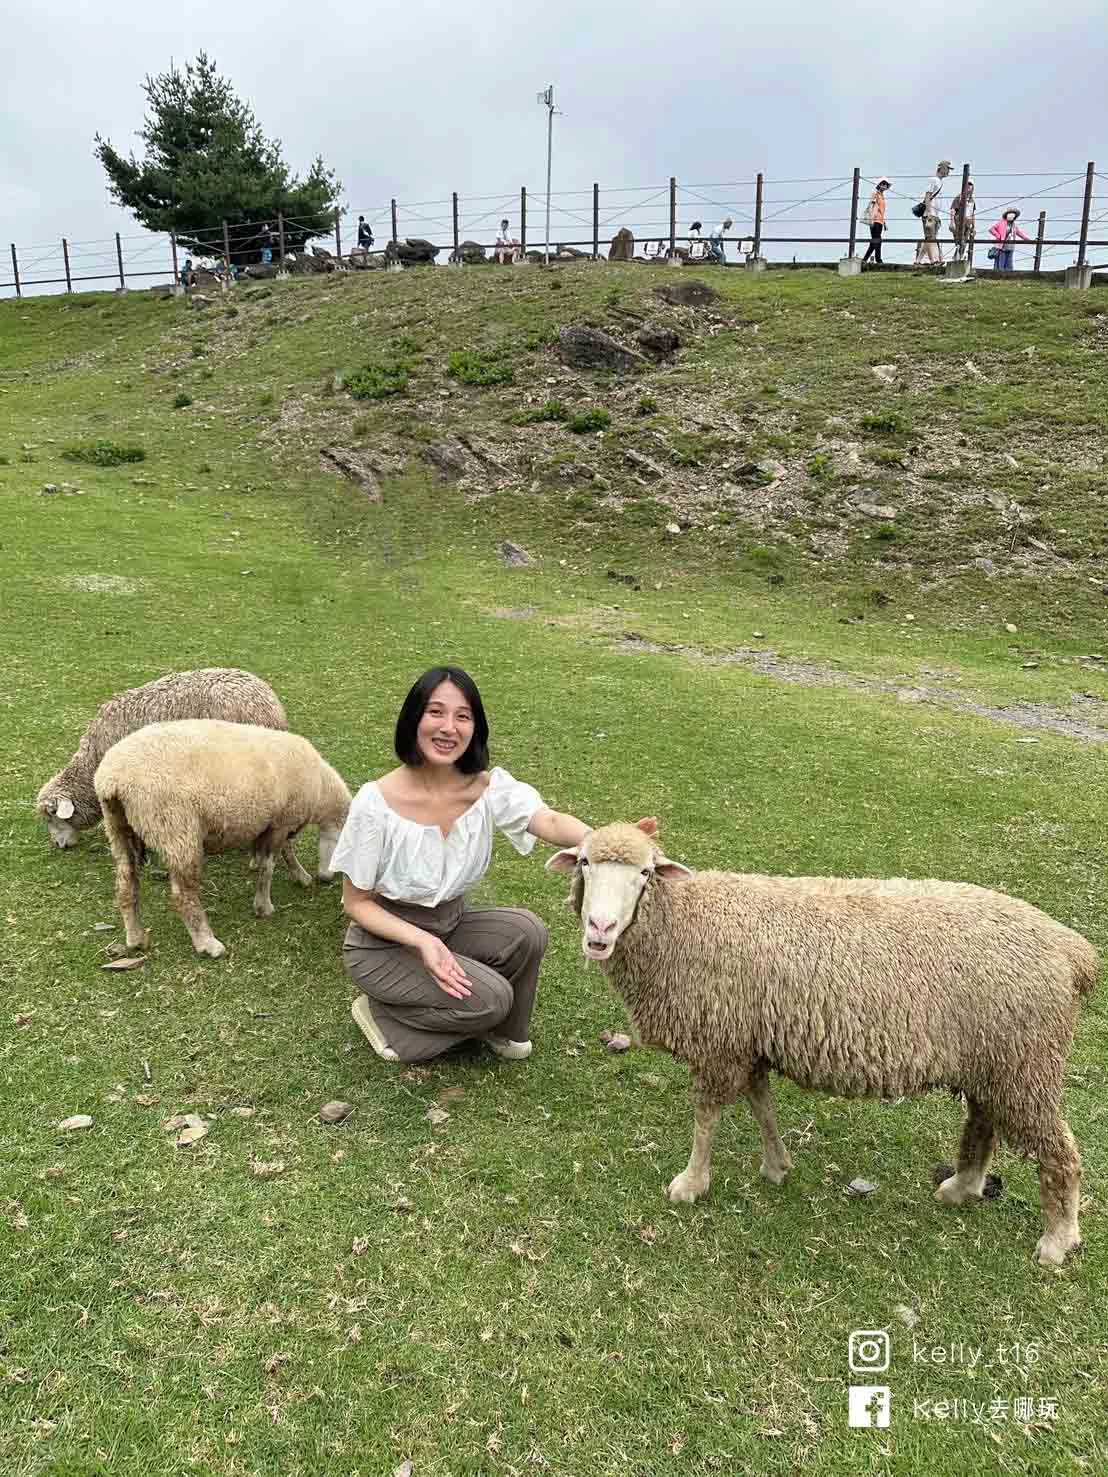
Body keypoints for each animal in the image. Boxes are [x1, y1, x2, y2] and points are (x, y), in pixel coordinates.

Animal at [93, 717, 348, 957]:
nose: (326, 877)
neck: (320, 788)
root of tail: (112, 780)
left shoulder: (274, 822)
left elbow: (283, 852)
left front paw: (297, 875)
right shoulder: (282, 822)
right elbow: (269, 866)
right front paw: (264, 906)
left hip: (118, 828)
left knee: (125, 884)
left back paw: (136, 938)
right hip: (175, 827)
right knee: (183, 894)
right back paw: (207, 943)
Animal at [552, 821, 1105, 1270]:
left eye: (645, 873)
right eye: (584, 862)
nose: (599, 930)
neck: (683, 923)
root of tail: (1073, 952)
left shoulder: (720, 1041)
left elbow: (707, 1117)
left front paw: (690, 1184)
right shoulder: (750, 1039)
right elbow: (762, 1105)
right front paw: (776, 1167)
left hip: (1026, 1062)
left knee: (1060, 1151)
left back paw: (1058, 1240)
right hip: (995, 1060)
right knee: (984, 1122)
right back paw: (962, 1187)